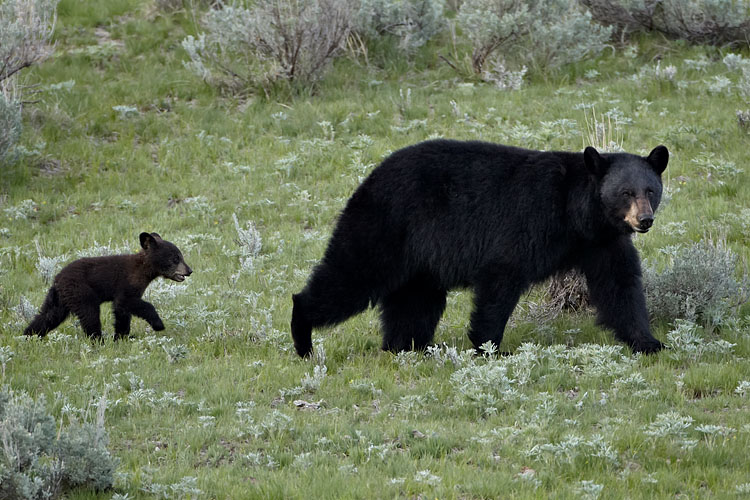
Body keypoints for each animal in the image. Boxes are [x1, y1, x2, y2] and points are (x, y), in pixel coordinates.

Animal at [24, 232, 192, 340]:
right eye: (175, 258)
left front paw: (122, 336)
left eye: (180, 256)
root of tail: (57, 279)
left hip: (60, 299)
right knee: (90, 316)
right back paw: (98, 341)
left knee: (47, 315)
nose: (189, 270)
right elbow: (128, 303)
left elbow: (121, 312)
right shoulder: (126, 284)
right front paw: (158, 324)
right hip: (81, 292)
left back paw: (28, 336)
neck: (143, 269)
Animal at [291, 139, 669, 357]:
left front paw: (649, 342)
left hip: (418, 259)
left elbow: (620, 285)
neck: (577, 213)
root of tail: (369, 177)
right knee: (350, 275)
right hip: (386, 226)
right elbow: (501, 278)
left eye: (650, 190)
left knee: (414, 302)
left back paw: (407, 346)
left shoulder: (603, 241)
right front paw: (489, 348)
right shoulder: (529, 220)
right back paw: (303, 338)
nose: (645, 220)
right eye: (626, 192)